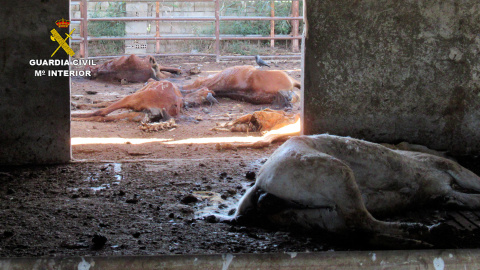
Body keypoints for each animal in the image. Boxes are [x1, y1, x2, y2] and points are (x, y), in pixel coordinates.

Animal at [212, 134, 480, 246]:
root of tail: (260, 183)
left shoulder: (441, 187)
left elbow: (462, 197)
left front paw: (454, 204)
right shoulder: (441, 166)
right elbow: (472, 180)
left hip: (313, 215)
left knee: (356, 229)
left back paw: (431, 235)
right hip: (338, 175)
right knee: (361, 220)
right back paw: (429, 232)